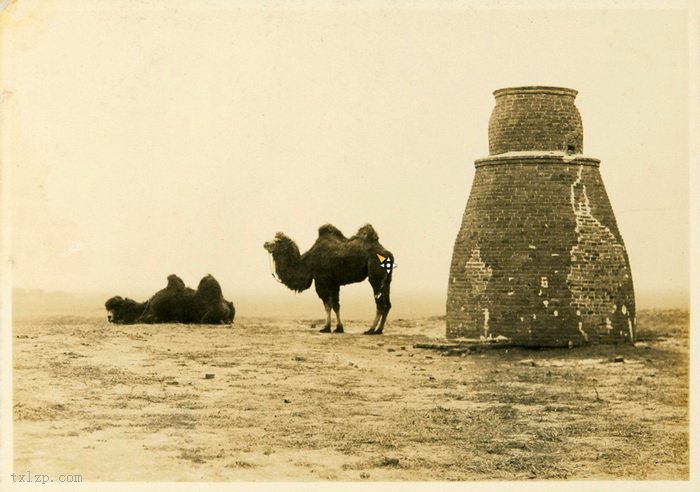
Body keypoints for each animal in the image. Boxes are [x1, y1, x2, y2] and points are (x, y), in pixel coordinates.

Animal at [264, 226, 394, 334]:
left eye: (278, 241)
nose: (265, 243)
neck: (308, 262)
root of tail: (388, 254)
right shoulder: (334, 282)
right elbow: (336, 305)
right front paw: (338, 328)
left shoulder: (322, 280)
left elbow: (327, 304)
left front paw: (326, 328)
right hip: (388, 279)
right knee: (388, 304)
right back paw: (379, 330)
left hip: (375, 275)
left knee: (380, 304)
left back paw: (371, 330)